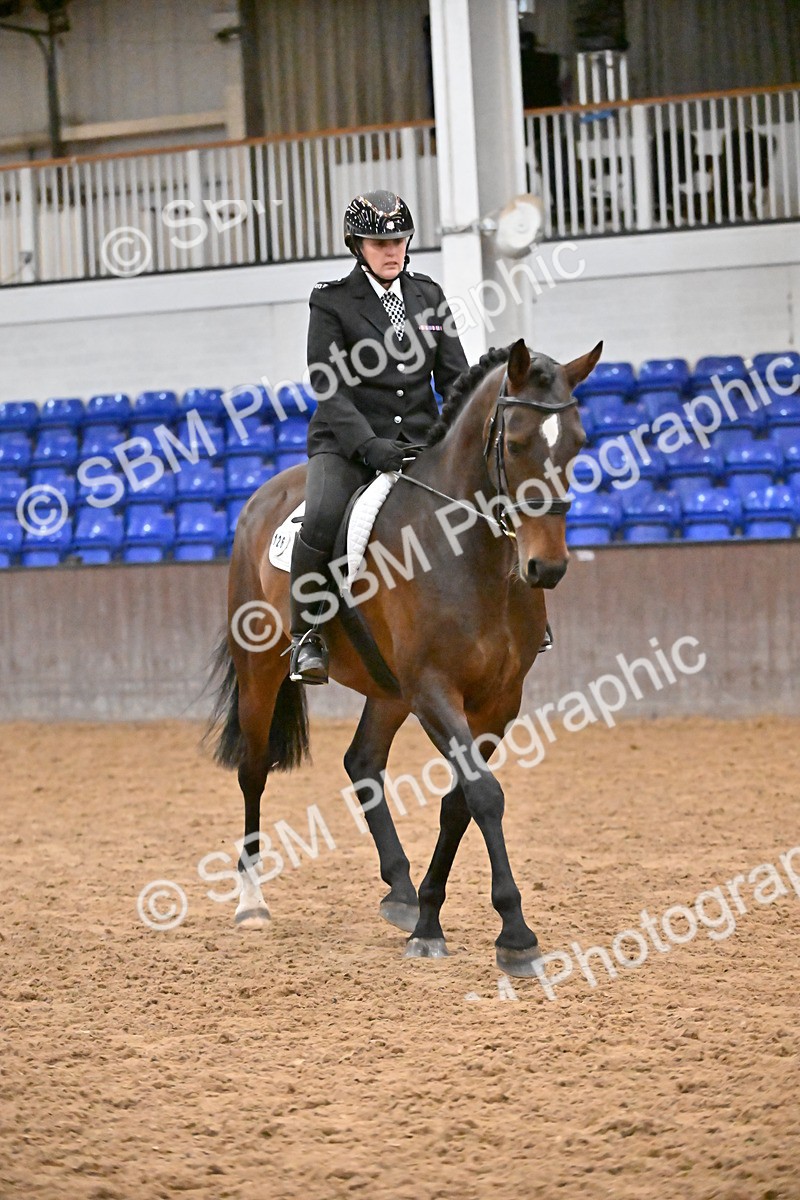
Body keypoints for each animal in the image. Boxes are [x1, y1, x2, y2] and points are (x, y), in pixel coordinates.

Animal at [205, 337, 601, 977]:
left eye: (578, 444)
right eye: (516, 443)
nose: (547, 567)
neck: (466, 551)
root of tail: (263, 496)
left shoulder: (497, 702)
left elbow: (459, 803)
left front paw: (429, 920)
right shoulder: (435, 690)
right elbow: (484, 795)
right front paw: (515, 934)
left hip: (388, 689)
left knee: (362, 762)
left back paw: (400, 891)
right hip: (261, 668)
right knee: (254, 770)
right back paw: (251, 902)